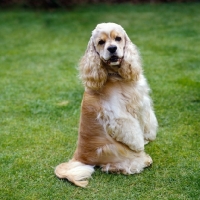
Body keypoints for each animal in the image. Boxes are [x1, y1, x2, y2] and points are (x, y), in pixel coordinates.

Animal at [55, 23, 158, 188]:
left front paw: (149, 135)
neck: (116, 76)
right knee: (113, 166)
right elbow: (132, 131)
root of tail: (79, 157)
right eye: (101, 42)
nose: (112, 48)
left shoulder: (142, 102)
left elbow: (148, 120)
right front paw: (139, 144)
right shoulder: (117, 114)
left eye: (118, 38)